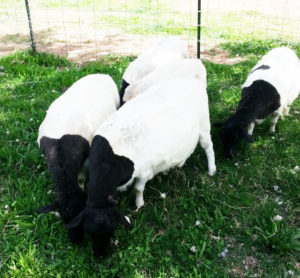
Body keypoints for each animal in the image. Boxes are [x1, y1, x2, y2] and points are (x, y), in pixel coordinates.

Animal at [66, 60, 216, 256]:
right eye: (89, 232)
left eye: (112, 231)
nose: (100, 257)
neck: (111, 158)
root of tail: (193, 81)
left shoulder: (145, 171)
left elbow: (138, 188)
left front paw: (139, 205)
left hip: (204, 126)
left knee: (208, 147)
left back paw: (212, 170)